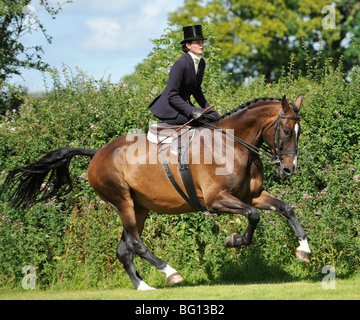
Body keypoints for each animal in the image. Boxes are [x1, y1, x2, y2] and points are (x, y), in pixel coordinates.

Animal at [2, 94, 310, 290]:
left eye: (299, 131)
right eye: (285, 131)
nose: (289, 170)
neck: (233, 145)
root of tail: (97, 153)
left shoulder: (251, 195)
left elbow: (286, 208)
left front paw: (304, 250)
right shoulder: (217, 201)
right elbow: (254, 216)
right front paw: (234, 240)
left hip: (139, 207)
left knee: (124, 250)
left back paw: (144, 287)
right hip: (122, 202)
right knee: (136, 244)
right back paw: (171, 273)